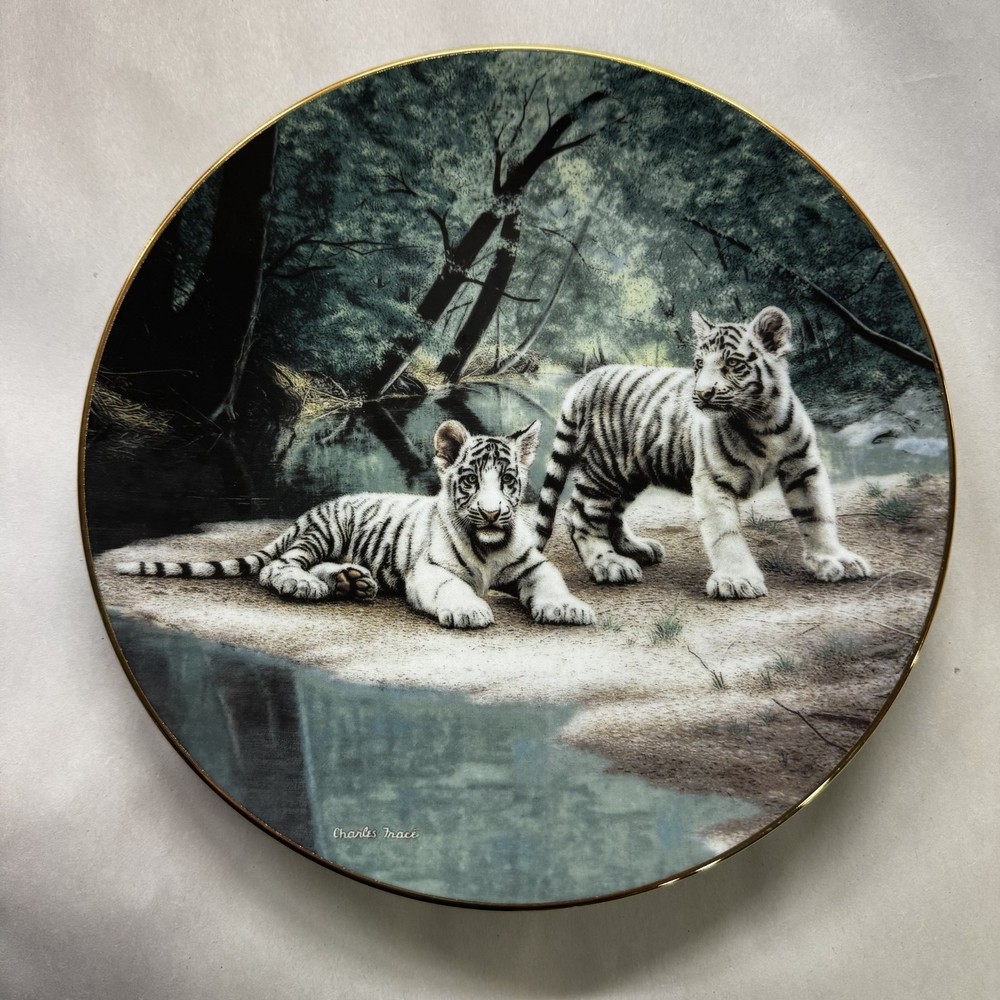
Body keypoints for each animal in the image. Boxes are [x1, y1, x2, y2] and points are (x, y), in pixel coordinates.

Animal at [118, 420, 594, 629]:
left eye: (509, 480)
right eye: (471, 481)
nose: (493, 512)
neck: (489, 544)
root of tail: (307, 512)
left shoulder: (532, 565)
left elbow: (551, 582)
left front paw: (567, 608)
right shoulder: (429, 571)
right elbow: (454, 588)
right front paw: (469, 609)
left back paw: (352, 582)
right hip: (325, 532)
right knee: (278, 566)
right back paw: (304, 584)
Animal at [534, 306, 872, 599]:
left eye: (733, 364)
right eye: (698, 364)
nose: (702, 393)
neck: (762, 421)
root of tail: (584, 381)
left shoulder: (803, 467)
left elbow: (817, 515)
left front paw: (834, 560)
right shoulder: (712, 479)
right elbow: (725, 533)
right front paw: (737, 581)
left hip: (629, 473)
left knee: (609, 514)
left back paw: (636, 549)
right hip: (605, 468)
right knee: (580, 513)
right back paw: (609, 563)